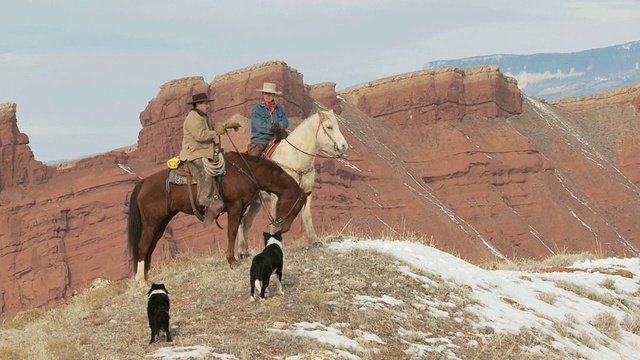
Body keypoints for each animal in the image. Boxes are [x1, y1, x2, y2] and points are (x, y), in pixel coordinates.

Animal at [127, 151, 310, 284]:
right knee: (143, 246)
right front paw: (232, 260)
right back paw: (141, 281)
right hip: (151, 223)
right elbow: (232, 231)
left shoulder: (242, 207)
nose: (284, 228)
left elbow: (239, 228)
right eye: (297, 207)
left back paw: (146, 277)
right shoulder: (235, 206)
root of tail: (143, 183)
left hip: (161, 222)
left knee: (151, 246)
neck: (247, 171)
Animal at [236, 108, 348, 258]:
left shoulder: (306, 193)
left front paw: (315, 241)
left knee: (246, 222)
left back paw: (246, 251)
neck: (296, 158)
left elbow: (307, 216)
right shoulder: (277, 197)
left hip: (256, 203)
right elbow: (276, 221)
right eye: (329, 127)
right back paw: (241, 251)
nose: (344, 146)